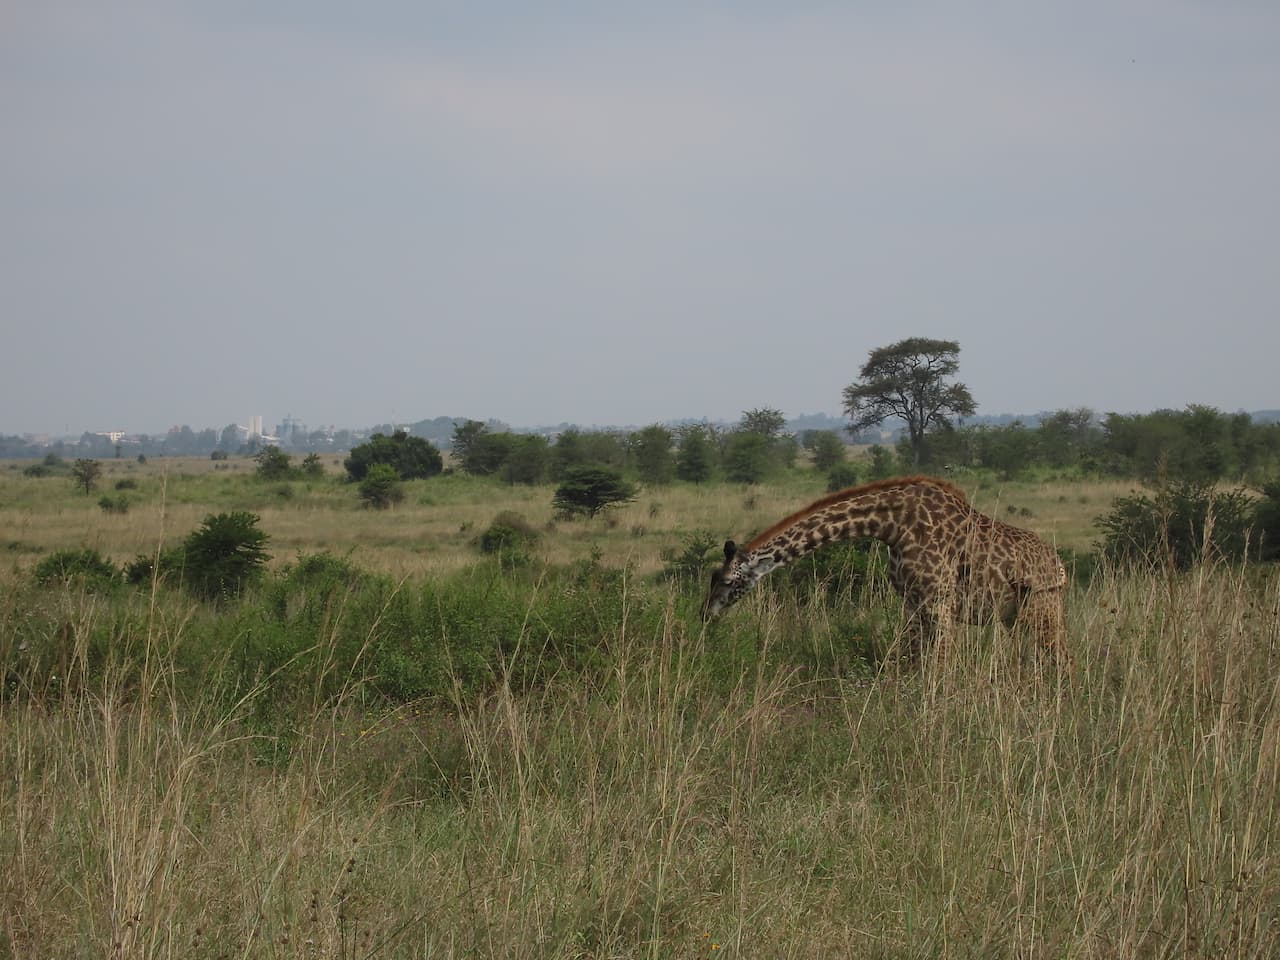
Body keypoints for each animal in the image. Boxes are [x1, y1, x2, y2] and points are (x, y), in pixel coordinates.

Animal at [701, 478, 1070, 665]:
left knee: (1062, 660)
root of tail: (1060, 568)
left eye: (728, 581)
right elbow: (914, 660)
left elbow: (942, 664)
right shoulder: (912, 601)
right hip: (1014, 617)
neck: (892, 525)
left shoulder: (939, 601)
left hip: (1042, 608)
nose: (706, 614)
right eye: (712, 578)